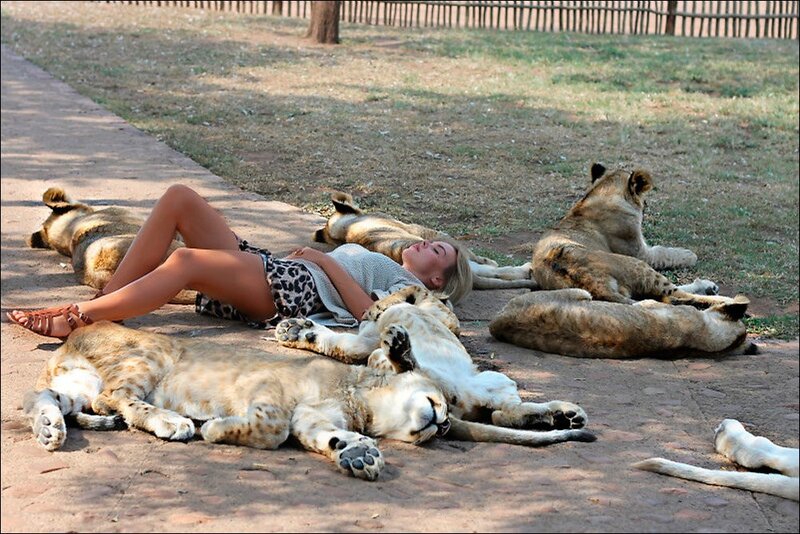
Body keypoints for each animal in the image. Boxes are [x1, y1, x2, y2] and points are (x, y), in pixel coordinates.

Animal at [24, 321, 453, 481]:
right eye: (441, 399)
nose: (445, 423)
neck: (359, 398)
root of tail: (71, 336)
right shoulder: (267, 385)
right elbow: (273, 429)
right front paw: (214, 428)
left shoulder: (310, 420)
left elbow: (327, 437)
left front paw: (359, 454)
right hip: (151, 356)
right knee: (115, 396)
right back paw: (172, 421)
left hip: (77, 383)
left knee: (49, 397)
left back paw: (49, 429)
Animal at [276, 285, 596, 445]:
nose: (366, 313)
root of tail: (462, 406)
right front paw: (295, 330)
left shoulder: (374, 334)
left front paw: (296, 330)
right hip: (480, 382)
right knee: (500, 412)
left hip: (491, 381)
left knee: (502, 411)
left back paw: (564, 416)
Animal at [313, 192, 536, 292]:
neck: (344, 228)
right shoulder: (422, 230)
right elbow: (479, 258)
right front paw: (490, 260)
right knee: (494, 272)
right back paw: (526, 268)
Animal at [531, 163, 741, 309]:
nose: (646, 205)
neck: (600, 193)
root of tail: (593, 283)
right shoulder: (641, 253)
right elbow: (664, 253)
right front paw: (689, 254)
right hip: (637, 264)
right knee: (674, 295)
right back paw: (725, 299)